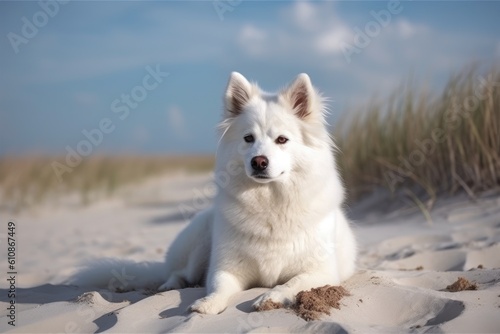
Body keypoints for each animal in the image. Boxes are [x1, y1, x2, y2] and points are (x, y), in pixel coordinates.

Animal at [156, 72, 356, 314]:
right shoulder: (226, 268)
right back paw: (169, 285)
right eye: (248, 138)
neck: (271, 202)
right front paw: (208, 303)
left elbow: (291, 283)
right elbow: (219, 286)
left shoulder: (321, 271)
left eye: (282, 139)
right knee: (181, 272)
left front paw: (270, 298)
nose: (258, 162)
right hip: (200, 248)